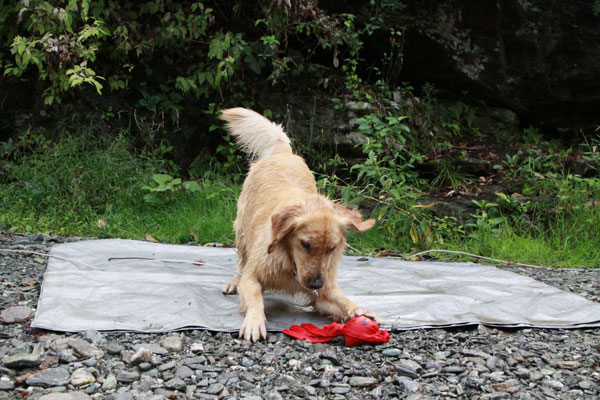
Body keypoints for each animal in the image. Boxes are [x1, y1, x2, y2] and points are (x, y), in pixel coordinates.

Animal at [220, 106, 380, 340]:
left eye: (332, 248)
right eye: (305, 244)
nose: (316, 283)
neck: (289, 263)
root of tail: (283, 153)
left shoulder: (324, 292)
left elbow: (339, 300)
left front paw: (358, 310)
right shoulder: (252, 276)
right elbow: (255, 297)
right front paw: (254, 321)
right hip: (241, 228)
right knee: (240, 260)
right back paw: (233, 282)